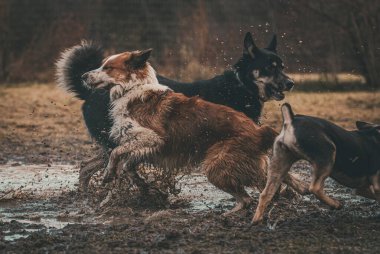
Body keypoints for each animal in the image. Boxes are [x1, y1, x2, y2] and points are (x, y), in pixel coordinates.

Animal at [55, 32, 294, 190]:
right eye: (270, 67)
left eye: (281, 66)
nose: (291, 83)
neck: (240, 85)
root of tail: (88, 94)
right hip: (112, 141)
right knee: (113, 163)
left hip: (110, 143)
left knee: (88, 167)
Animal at [81, 49, 306, 214]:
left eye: (108, 67)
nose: (84, 75)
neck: (132, 90)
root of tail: (258, 131)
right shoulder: (143, 147)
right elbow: (126, 161)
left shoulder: (152, 138)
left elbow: (117, 153)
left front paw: (109, 174)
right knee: (266, 183)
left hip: (216, 167)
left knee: (248, 197)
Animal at [252, 102, 380, 222]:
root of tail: (291, 120)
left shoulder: (362, 188)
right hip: (328, 153)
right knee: (315, 188)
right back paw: (336, 204)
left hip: (280, 162)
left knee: (265, 194)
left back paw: (256, 220)